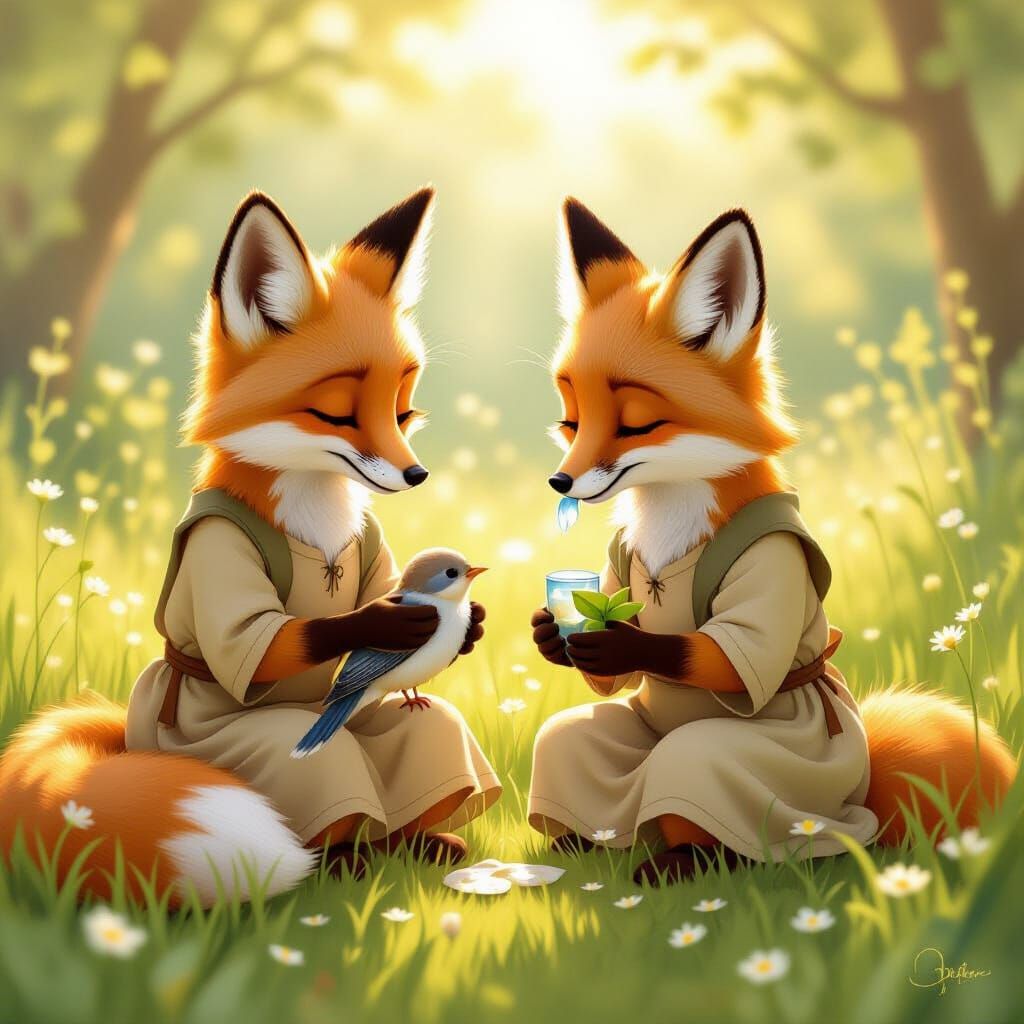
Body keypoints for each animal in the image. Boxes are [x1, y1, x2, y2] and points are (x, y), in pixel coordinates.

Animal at [0, 187, 492, 906]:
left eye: (404, 411)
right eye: (339, 413)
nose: (415, 475)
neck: (315, 506)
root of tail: (131, 735)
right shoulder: (218, 546)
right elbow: (266, 635)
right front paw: (380, 623)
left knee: (430, 733)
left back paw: (414, 843)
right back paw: (337, 860)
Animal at [527, 198, 1016, 883]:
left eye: (635, 424)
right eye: (570, 420)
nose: (560, 482)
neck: (672, 519)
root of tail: (860, 799)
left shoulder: (773, 561)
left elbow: (728, 654)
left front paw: (625, 643)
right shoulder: (614, 571)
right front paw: (555, 635)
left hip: (752, 768)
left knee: (697, 771)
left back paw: (684, 859)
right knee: (570, 742)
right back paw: (585, 840)